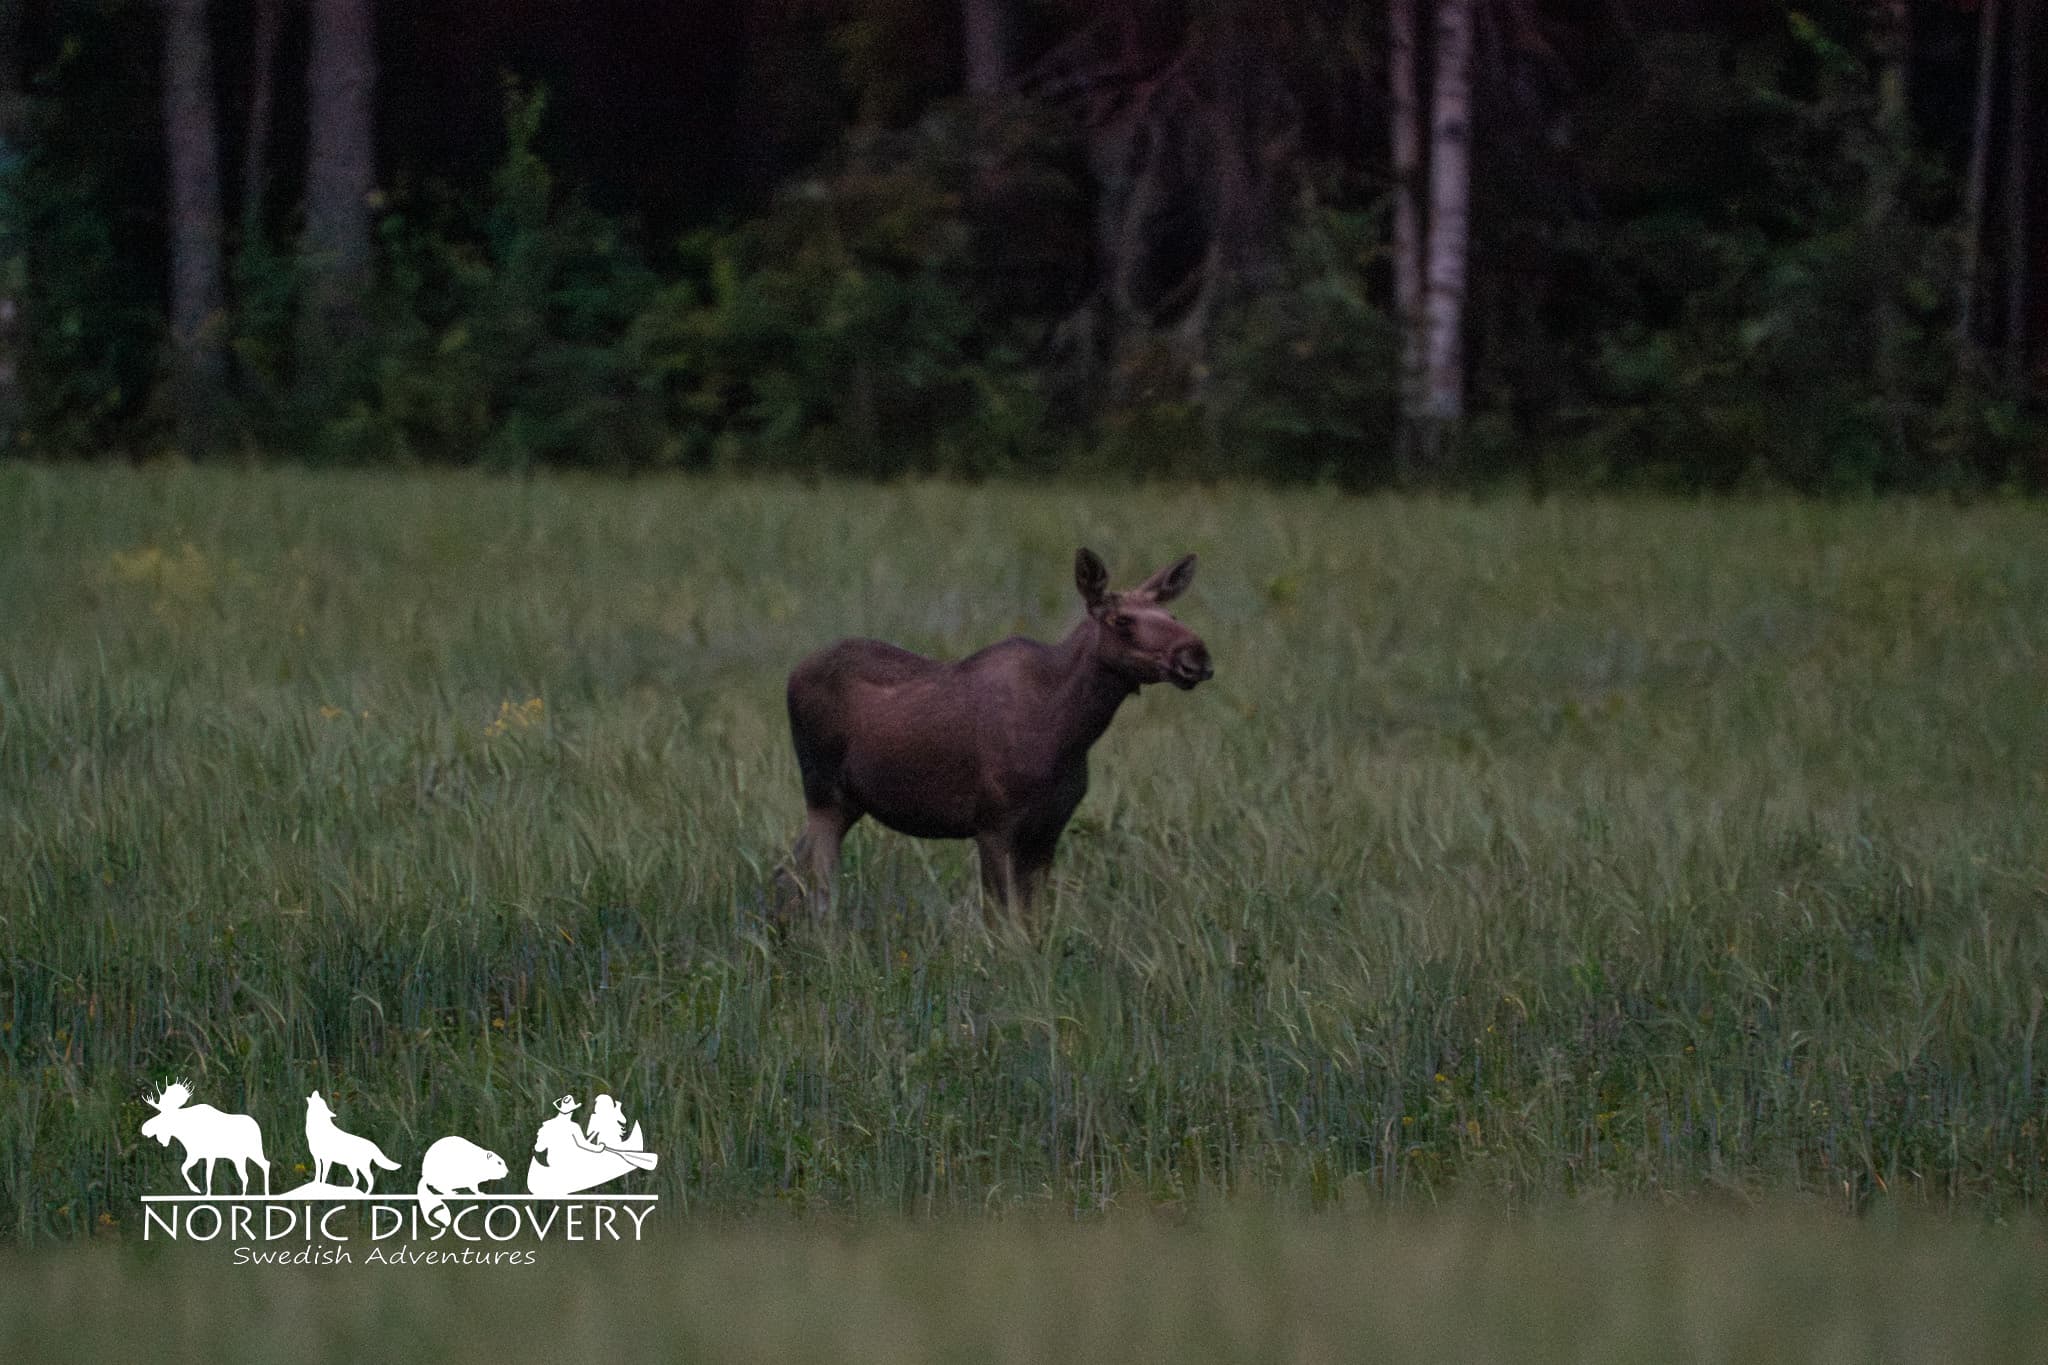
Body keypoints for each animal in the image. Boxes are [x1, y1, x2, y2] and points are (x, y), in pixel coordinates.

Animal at [780, 547, 1213, 924]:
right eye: (1122, 621)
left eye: (1171, 612)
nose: (1197, 655)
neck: (1070, 732)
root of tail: (792, 674)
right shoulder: (994, 826)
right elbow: (1003, 923)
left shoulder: (1048, 828)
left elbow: (1032, 922)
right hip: (823, 793)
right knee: (817, 886)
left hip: (849, 802)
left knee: (791, 868)